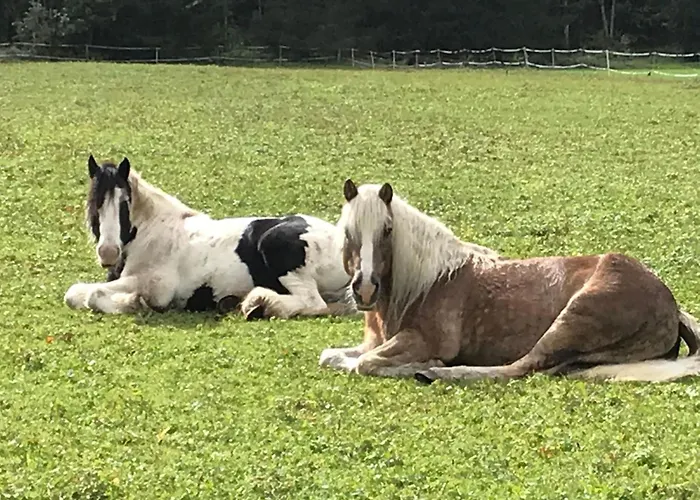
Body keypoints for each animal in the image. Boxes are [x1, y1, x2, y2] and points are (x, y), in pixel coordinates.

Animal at [63, 155, 356, 319]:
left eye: (125, 202)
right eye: (94, 202)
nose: (108, 252)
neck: (152, 233)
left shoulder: (156, 286)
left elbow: (91, 294)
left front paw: (134, 302)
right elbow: (75, 293)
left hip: (278, 250)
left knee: (313, 303)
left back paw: (259, 304)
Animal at [318, 179, 700, 383]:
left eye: (387, 230)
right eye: (348, 232)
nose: (365, 288)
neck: (426, 284)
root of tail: (670, 303)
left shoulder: (420, 340)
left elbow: (366, 364)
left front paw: (426, 364)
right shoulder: (372, 342)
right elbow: (332, 357)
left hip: (572, 320)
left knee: (516, 368)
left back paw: (438, 373)